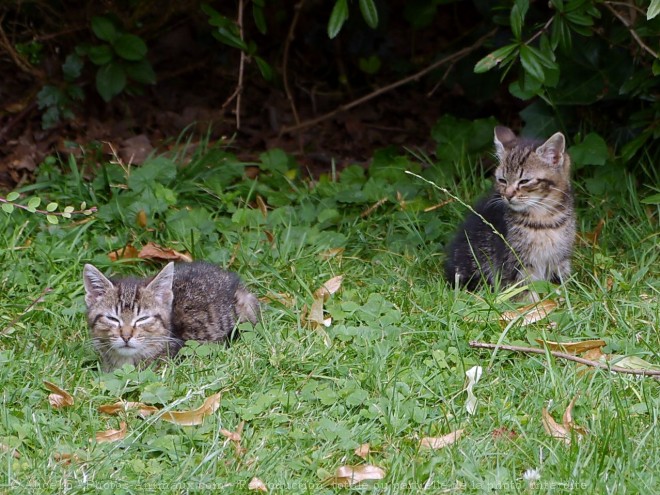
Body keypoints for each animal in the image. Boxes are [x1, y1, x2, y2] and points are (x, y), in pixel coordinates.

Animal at [444, 126, 576, 292]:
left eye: (524, 181)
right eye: (502, 180)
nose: (507, 195)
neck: (544, 218)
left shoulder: (560, 260)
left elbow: (558, 286)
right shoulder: (514, 264)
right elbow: (524, 291)